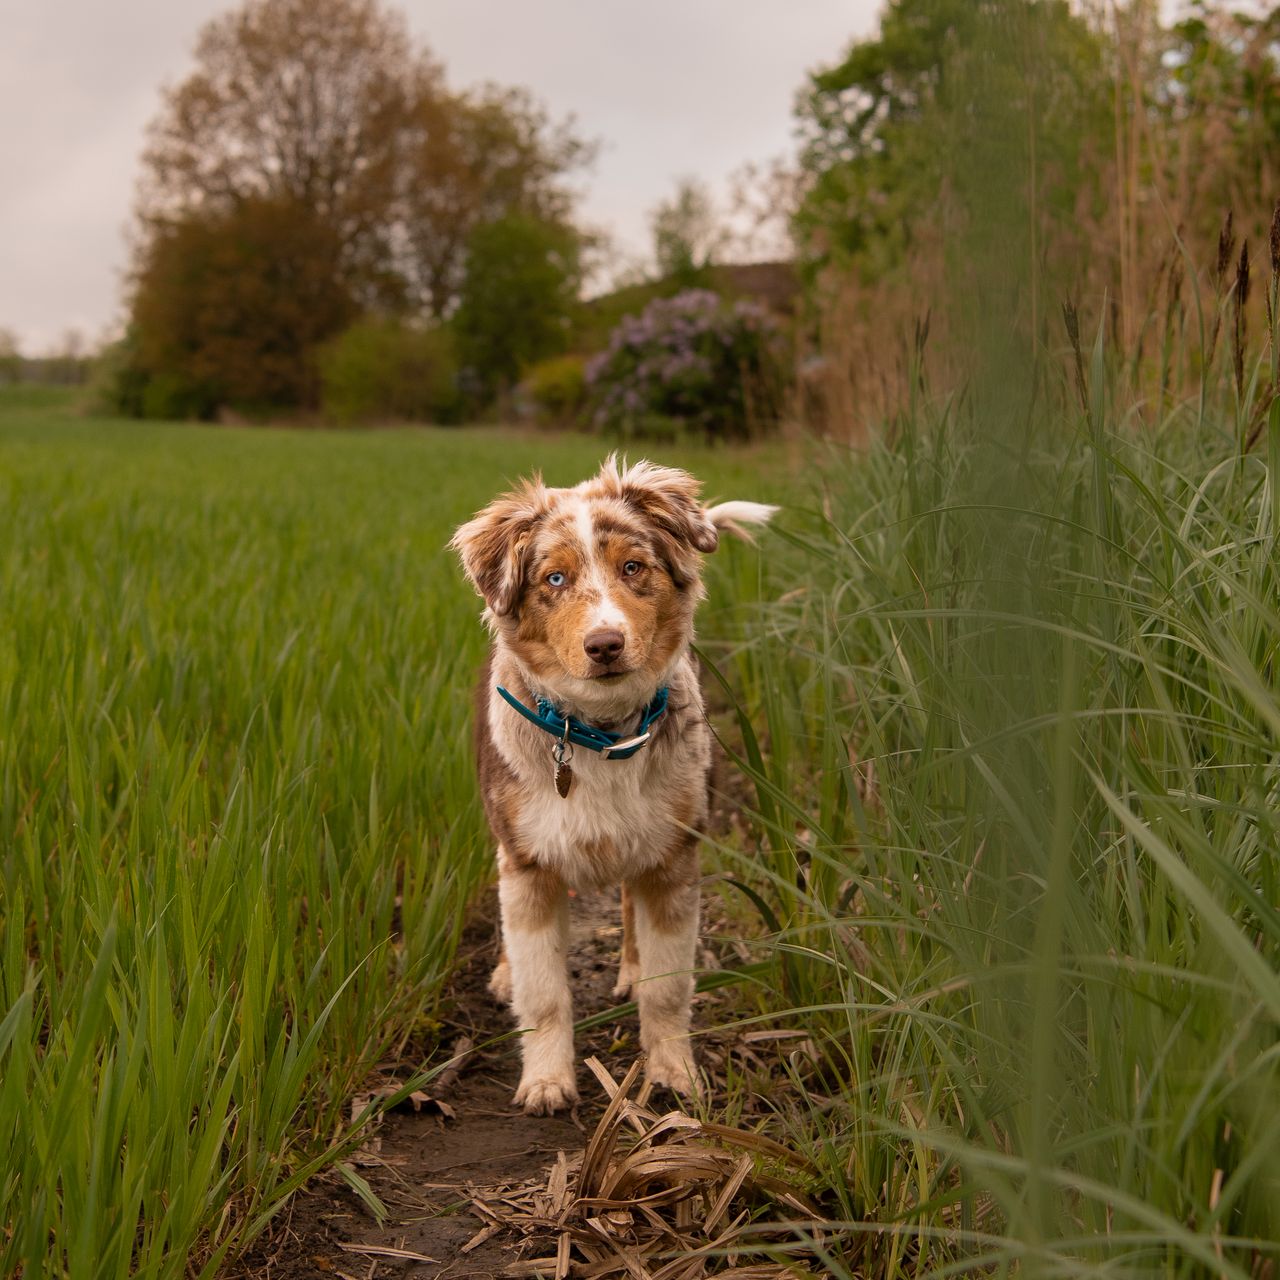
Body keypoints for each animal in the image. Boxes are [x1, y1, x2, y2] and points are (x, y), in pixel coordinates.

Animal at [453, 458, 768, 1111]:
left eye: (632, 567)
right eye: (554, 578)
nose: (605, 645)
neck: (599, 733)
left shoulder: (675, 857)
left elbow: (669, 988)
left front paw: (674, 1071)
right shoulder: (528, 865)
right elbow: (544, 992)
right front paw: (546, 1081)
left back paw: (630, 968)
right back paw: (504, 973)